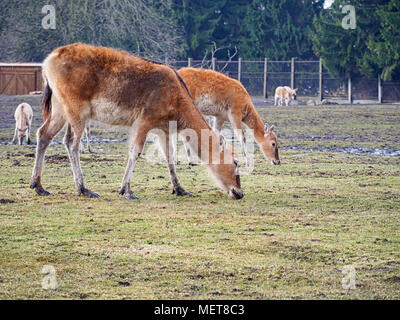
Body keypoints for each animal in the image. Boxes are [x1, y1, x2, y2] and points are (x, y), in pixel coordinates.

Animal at [30, 43, 244, 200]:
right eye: (235, 161)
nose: (239, 192)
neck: (176, 106)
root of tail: (47, 62)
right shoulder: (144, 119)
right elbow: (135, 151)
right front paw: (126, 190)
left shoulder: (164, 129)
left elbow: (170, 156)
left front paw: (180, 189)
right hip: (76, 108)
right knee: (71, 142)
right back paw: (83, 189)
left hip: (59, 107)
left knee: (44, 133)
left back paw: (38, 185)